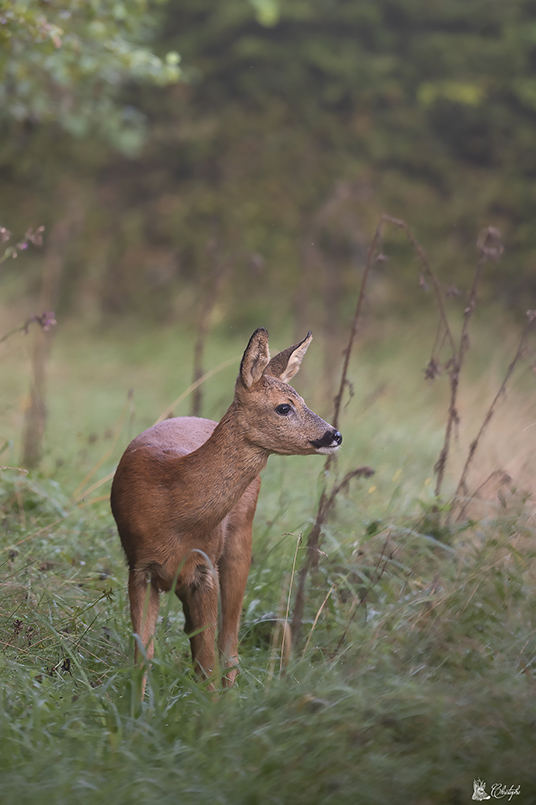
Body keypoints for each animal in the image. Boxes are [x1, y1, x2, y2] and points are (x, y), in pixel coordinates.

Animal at [110, 326, 342, 692]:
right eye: (284, 407)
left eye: (304, 401)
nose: (334, 435)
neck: (171, 501)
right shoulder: (139, 566)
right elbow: (141, 657)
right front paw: (137, 706)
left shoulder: (205, 567)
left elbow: (209, 658)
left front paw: (210, 707)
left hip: (239, 542)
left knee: (229, 642)